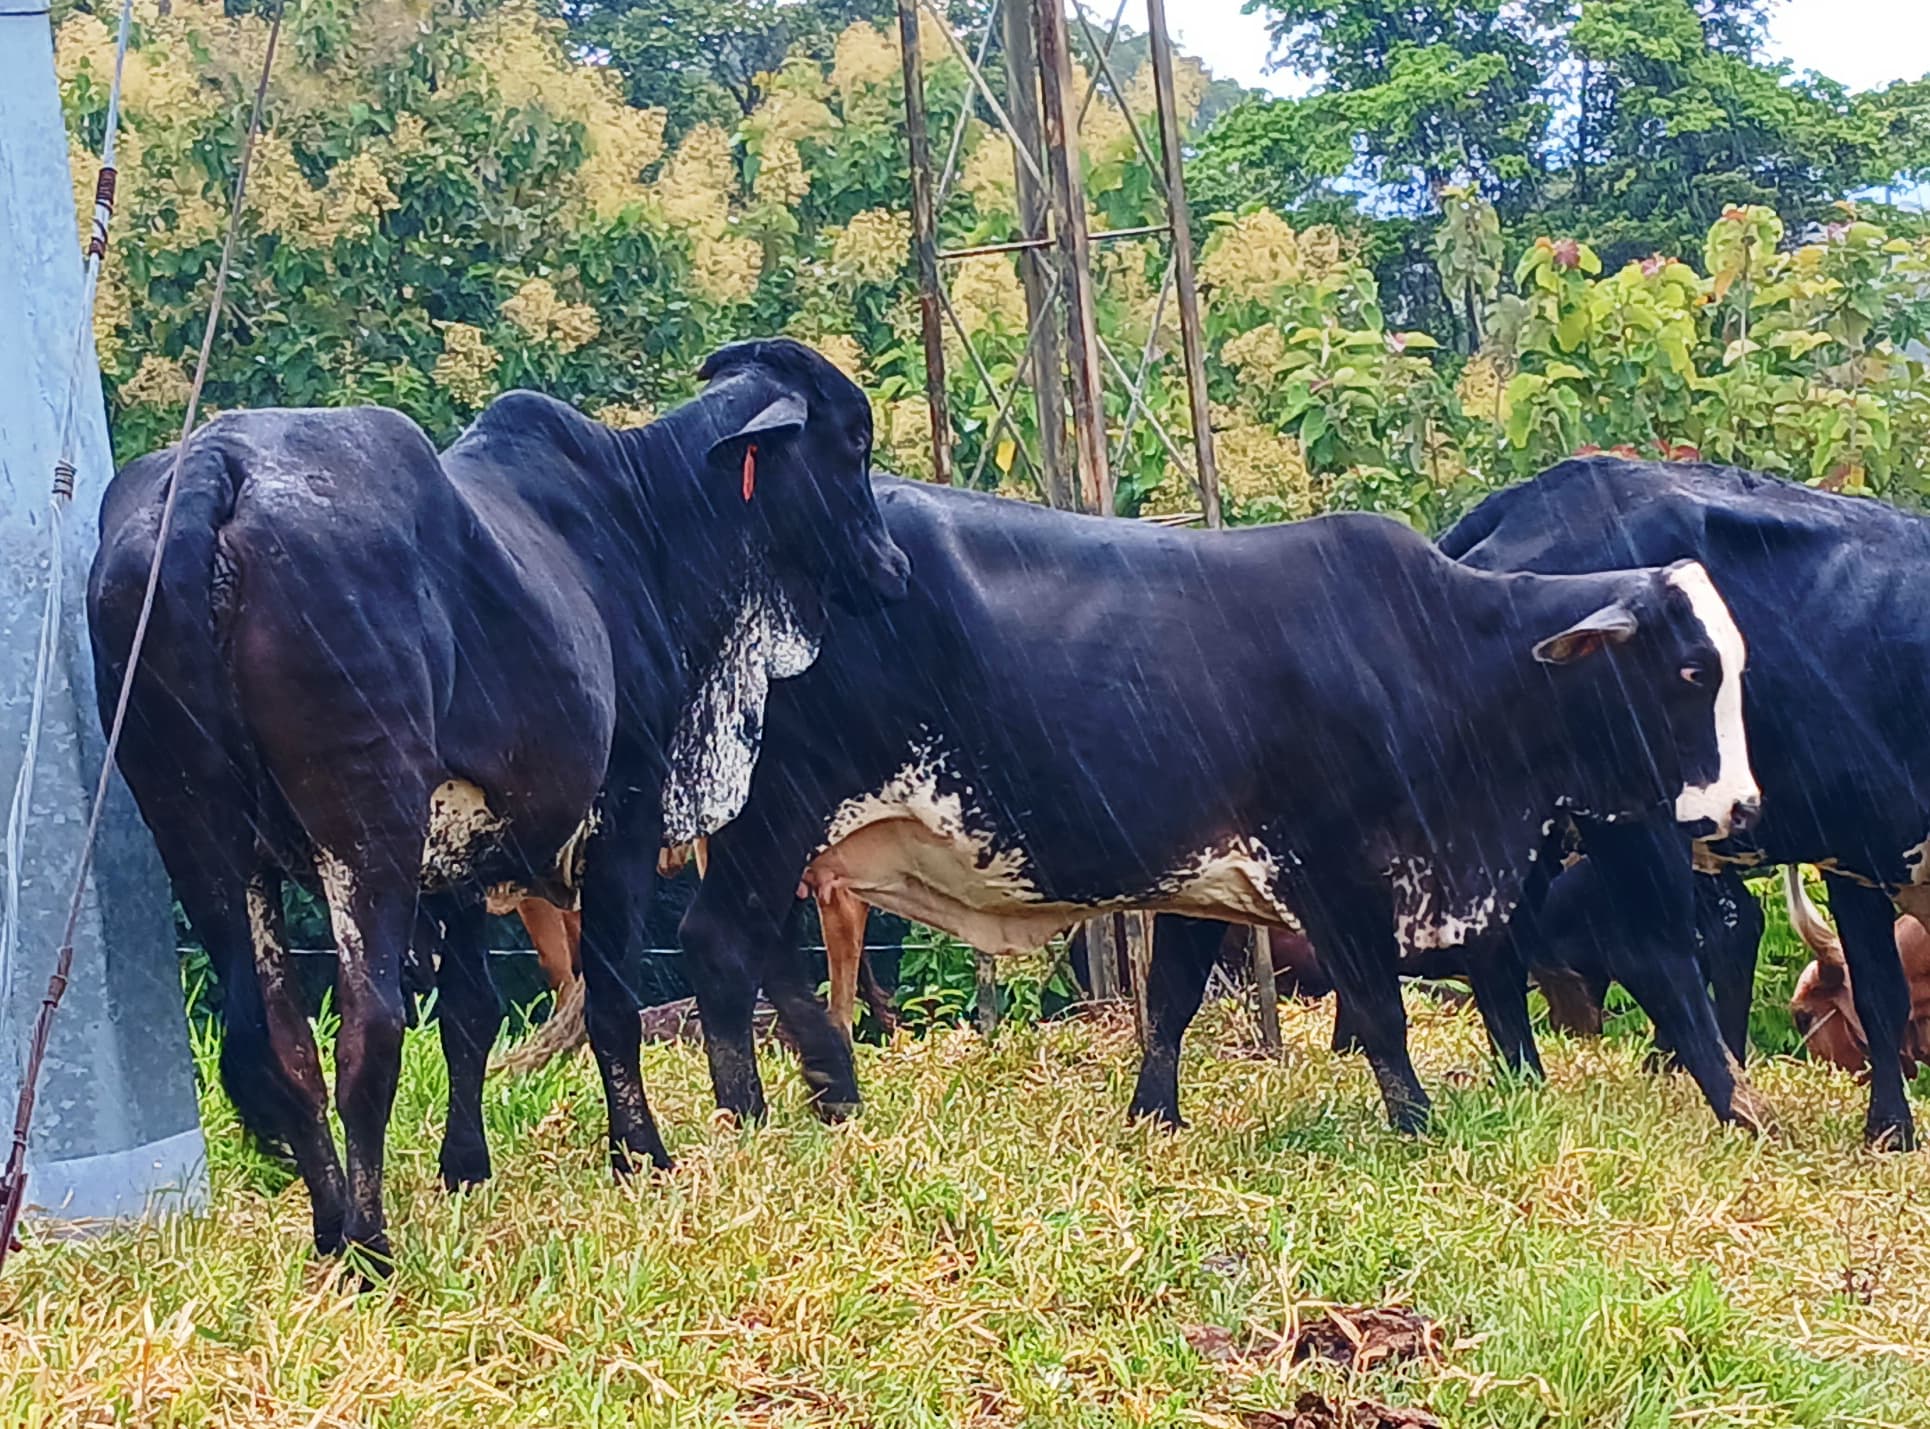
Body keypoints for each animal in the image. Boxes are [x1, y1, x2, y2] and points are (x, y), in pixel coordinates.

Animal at [88, 338, 908, 1265]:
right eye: (854, 441)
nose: (895, 568)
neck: (649, 520)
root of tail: (214, 470)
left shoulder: (459, 864)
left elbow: (470, 1017)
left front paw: (465, 1167)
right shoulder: (623, 814)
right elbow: (611, 1004)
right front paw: (641, 1154)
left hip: (200, 839)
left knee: (281, 1046)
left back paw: (332, 1233)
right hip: (364, 826)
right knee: (367, 1032)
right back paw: (370, 1251)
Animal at [674, 476, 1758, 1136]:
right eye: (1689, 670)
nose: (1743, 809)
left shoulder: (1197, 876)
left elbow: (1171, 1000)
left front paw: (1154, 1115)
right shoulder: (1329, 868)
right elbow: (1379, 1009)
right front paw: (1415, 1121)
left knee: (764, 953)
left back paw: (828, 1084)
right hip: (770, 817)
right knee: (720, 945)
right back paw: (749, 1113)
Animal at [1440, 454, 1930, 1148]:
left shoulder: (1861, 850)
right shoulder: (1858, 847)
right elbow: (1880, 993)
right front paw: (1893, 1131)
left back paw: (1525, 1080)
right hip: (1630, 814)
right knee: (1660, 950)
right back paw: (1739, 1106)